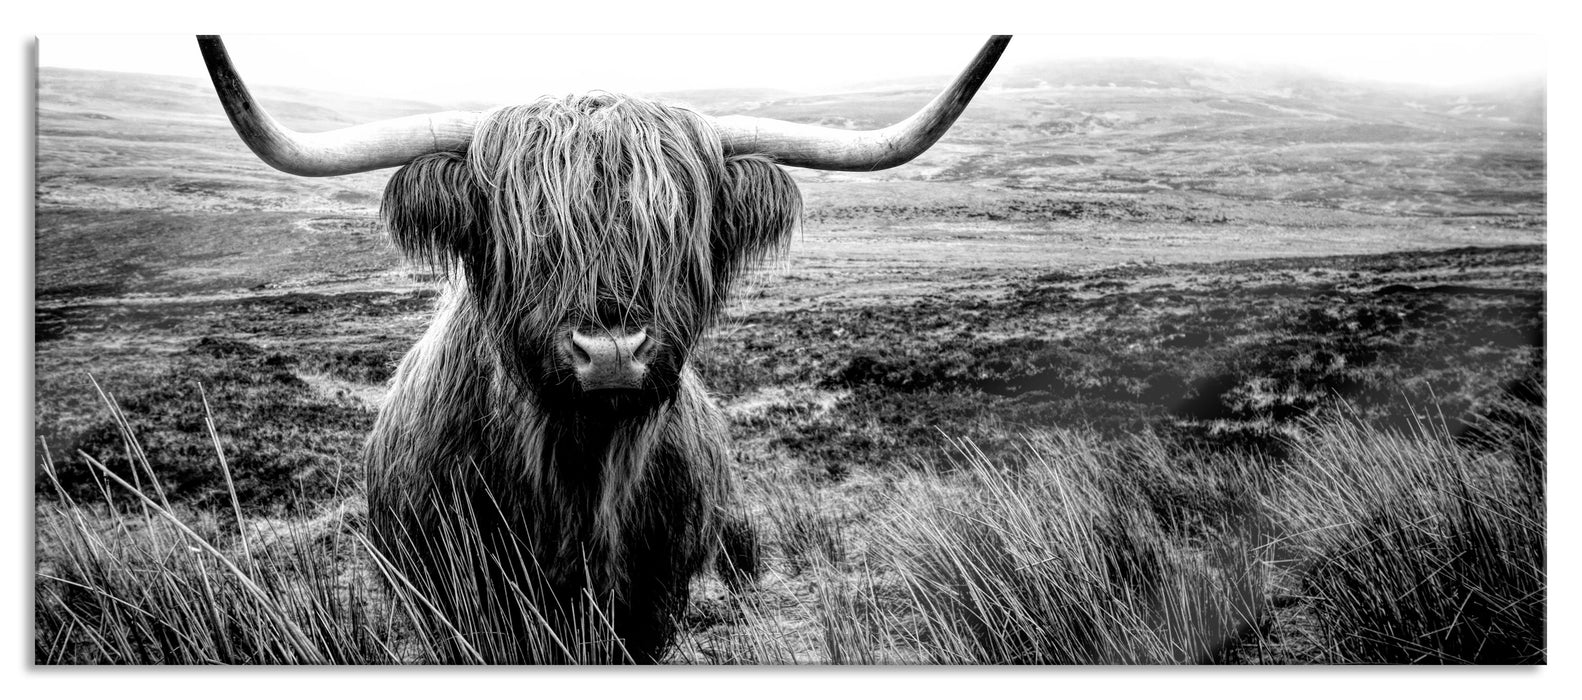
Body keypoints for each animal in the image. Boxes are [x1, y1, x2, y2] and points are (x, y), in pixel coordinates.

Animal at [197, 36, 1006, 661]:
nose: (611, 350)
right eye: (528, 230)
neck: (578, 477)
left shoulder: (652, 599)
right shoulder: (463, 603)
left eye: (674, 227)